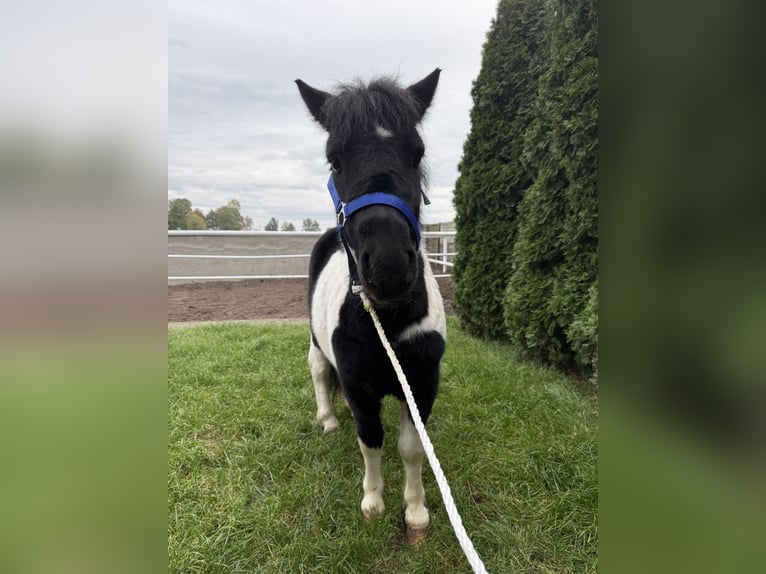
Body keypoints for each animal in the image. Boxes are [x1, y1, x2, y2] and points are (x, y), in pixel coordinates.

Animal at [295, 69, 447, 543]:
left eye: (417, 153)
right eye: (334, 160)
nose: (390, 266)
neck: (388, 322)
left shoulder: (420, 383)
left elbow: (411, 448)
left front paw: (415, 511)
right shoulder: (360, 388)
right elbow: (371, 440)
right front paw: (373, 503)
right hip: (315, 343)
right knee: (318, 371)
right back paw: (327, 418)